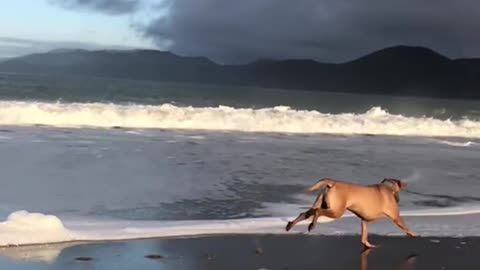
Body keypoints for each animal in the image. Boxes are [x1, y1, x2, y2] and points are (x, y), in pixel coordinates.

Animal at [284, 177, 416, 249]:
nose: (398, 200)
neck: (388, 188)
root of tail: (332, 183)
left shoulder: (364, 221)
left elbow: (364, 236)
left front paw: (368, 245)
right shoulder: (395, 217)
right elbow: (404, 226)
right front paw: (413, 234)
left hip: (322, 204)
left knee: (306, 213)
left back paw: (290, 225)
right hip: (337, 211)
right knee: (317, 212)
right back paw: (312, 225)